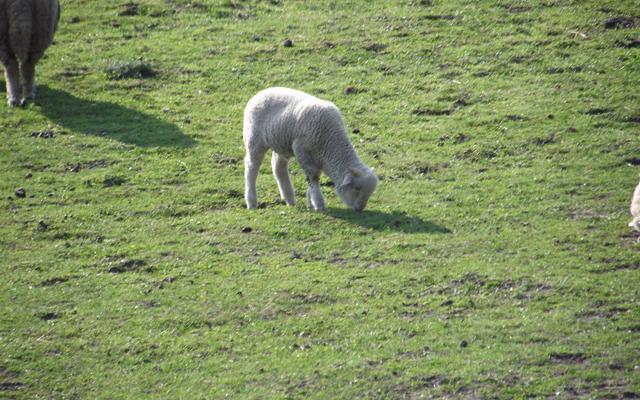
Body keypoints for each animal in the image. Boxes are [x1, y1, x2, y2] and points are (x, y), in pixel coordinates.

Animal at [242, 86, 378, 212]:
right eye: (356, 188)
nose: (359, 209)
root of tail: (259, 93)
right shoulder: (301, 149)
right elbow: (313, 176)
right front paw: (318, 204)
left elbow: (311, 177)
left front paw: (311, 202)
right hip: (255, 140)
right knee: (251, 167)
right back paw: (251, 201)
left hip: (281, 142)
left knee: (278, 167)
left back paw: (289, 199)